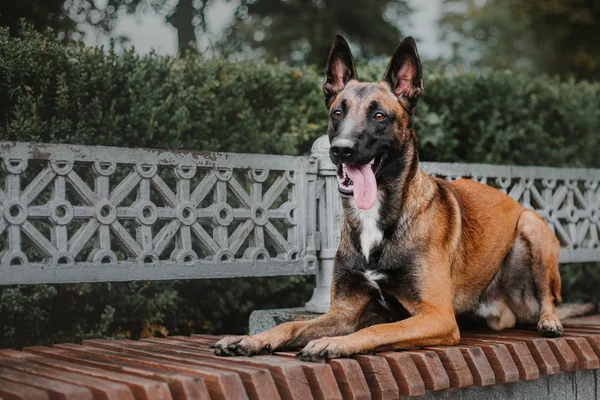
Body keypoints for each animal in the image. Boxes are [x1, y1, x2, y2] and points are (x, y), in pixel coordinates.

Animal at [210, 35, 592, 362]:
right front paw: (251, 339)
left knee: (548, 299)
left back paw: (550, 321)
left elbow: (377, 330)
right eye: (337, 113)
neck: (378, 218)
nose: (340, 150)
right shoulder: (344, 312)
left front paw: (333, 344)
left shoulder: (436, 316)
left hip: (531, 226)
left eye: (380, 115)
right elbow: (291, 325)